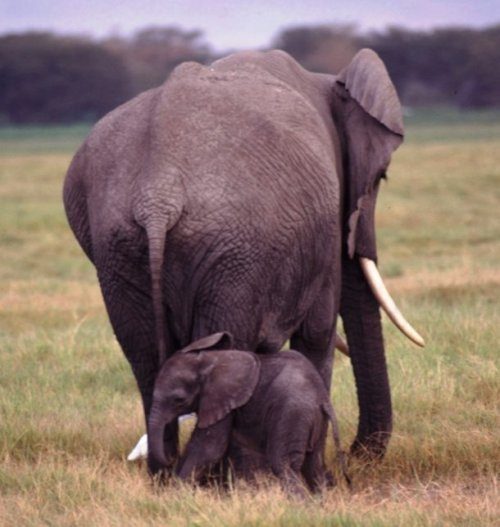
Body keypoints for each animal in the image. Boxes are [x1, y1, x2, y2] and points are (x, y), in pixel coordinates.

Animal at [63, 47, 424, 474]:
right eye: (382, 177)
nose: (357, 456)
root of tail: (157, 197)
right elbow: (317, 332)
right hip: (233, 251)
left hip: (120, 249)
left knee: (145, 358)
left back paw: (165, 476)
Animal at [148, 332, 350, 495]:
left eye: (179, 400)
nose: (169, 459)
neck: (210, 361)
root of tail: (323, 399)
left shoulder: (225, 399)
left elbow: (209, 448)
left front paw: (176, 494)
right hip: (316, 420)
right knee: (314, 466)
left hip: (294, 413)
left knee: (284, 465)